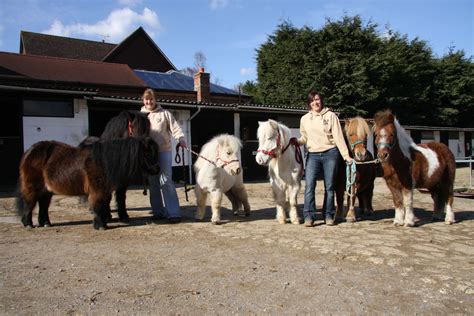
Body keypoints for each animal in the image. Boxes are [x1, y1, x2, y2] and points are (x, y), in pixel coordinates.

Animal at [16, 137, 159, 231]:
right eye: (147, 153)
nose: (157, 169)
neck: (104, 161)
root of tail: (30, 151)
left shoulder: (105, 191)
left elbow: (103, 205)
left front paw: (102, 222)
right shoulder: (97, 190)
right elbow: (97, 205)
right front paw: (101, 225)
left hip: (46, 190)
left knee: (44, 204)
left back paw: (45, 223)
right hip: (33, 186)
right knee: (29, 202)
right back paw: (28, 224)